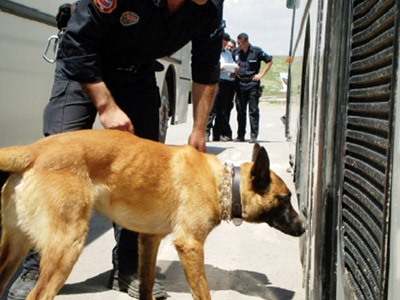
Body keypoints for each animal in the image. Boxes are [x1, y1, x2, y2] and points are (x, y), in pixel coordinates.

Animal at [0, 129, 304, 300]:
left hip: (15, 248)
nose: (304, 226)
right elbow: (203, 293)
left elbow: (146, 288)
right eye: (286, 199)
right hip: (67, 247)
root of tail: (33, 151)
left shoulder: (148, 241)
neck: (223, 183)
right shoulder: (190, 246)